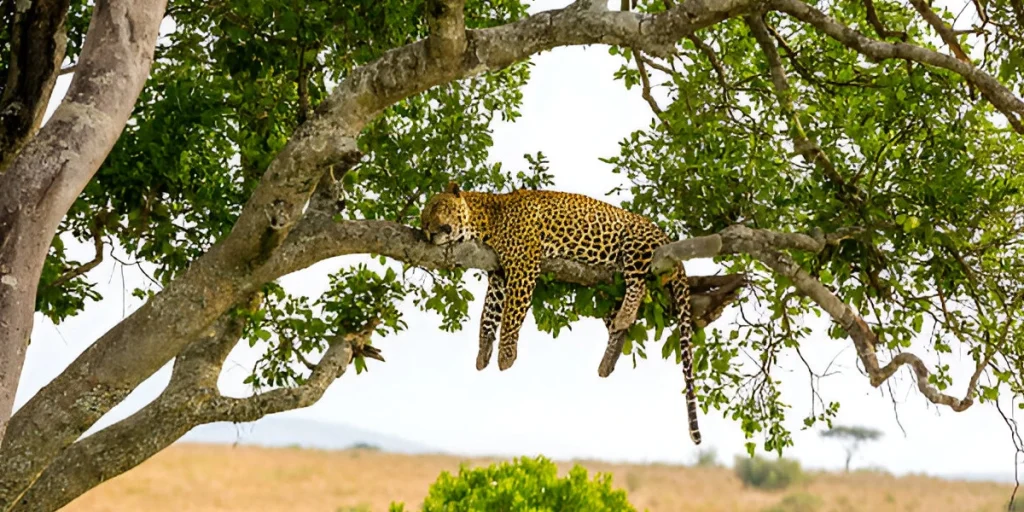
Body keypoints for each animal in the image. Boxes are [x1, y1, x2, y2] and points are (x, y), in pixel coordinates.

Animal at [420, 181, 702, 445]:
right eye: (422, 219)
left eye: (437, 207)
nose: (426, 230)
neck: (486, 219)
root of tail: (665, 237)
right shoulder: (499, 275)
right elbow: (488, 314)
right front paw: (483, 352)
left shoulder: (523, 265)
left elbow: (511, 314)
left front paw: (506, 356)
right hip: (604, 287)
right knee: (618, 321)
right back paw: (609, 356)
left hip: (635, 243)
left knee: (640, 284)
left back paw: (624, 317)